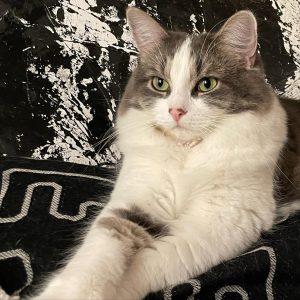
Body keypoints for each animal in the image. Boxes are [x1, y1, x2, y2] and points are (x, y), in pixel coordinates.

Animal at [28, 6, 300, 300]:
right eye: (160, 84)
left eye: (207, 84)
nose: (176, 111)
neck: (185, 153)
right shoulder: (136, 196)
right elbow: (98, 251)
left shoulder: (224, 218)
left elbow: (156, 258)